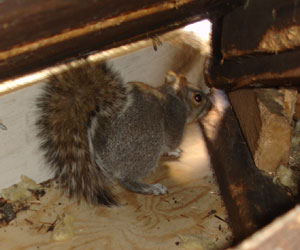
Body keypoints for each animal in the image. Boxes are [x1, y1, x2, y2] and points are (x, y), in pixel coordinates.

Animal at [36, 59, 212, 206]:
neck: (173, 98)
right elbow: (171, 143)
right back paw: (152, 188)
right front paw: (175, 151)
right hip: (148, 145)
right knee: (128, 181)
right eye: (198, 98)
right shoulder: (175, 122)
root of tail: (102, 157)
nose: (211, 106)